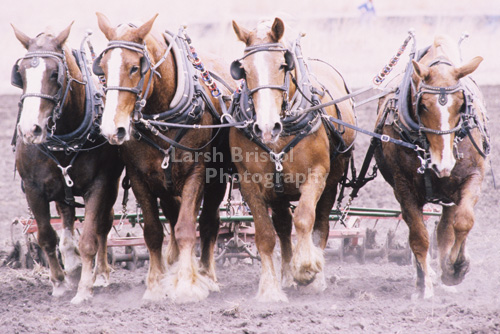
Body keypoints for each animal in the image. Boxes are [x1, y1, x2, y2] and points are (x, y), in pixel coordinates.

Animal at [11, 22, 124, 302]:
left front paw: (84, 289)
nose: (30, 129)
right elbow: (46, 236)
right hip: (62, 189)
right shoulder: (34, 189)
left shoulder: (100, 185)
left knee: (104, 225)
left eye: (55, 74)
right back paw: (71, 267)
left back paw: (100, 274)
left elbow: (90, 238)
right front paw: (60, 283)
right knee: (67, 216)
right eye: (20, 73)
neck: (63, 138)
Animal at [94, 12, 233, 302]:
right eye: (102, 67)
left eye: (134, 68)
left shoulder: (196, 173)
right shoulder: (139, 177)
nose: (113, 129)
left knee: (209, 222)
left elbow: (187, 227)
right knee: (172, 213)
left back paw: (206, 274)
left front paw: (188, 283)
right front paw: (156, 284)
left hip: (216, 179)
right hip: (165, 183)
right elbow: (153, 231)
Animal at [230, 17, 356, 302]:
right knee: (283, 226)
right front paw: (270, 288)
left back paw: (315, 276)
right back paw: (287, 274)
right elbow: (266, 235)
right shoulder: (249, 183)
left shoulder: (316, 175)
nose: (267, 127)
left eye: (282, 64)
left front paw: (307, 268)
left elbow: (305, 218)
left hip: (331, 184)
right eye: (244, 70)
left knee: (320, 223)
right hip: (278, 192)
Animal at [376, 35, 488, 298]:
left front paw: (456, 267)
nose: (443, 164)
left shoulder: (473, 177)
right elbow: (418, 236)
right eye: (423, 105)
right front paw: (424, 286)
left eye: (461, 104)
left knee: (445, 229)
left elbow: (463, 221)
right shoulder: (403, 187)